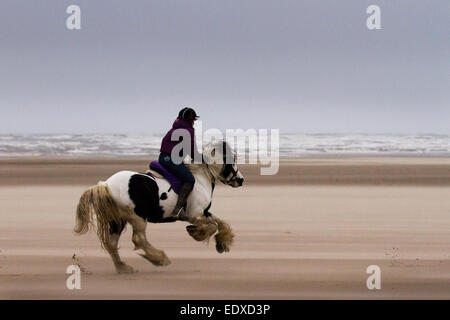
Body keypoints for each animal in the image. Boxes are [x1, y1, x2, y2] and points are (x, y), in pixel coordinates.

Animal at [74, 141, 243, 274]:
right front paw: (196, 233)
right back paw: (160, 259)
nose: (241, 180)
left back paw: (123, 268)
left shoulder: (204, 213)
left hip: (118, 221)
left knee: (112, 244)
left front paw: (222, 243)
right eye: (232, 159)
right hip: (137, 218)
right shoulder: (194, 215)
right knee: (139, 239)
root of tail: (106, 185)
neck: (202, 177)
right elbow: (213, 226)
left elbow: (220, 223)